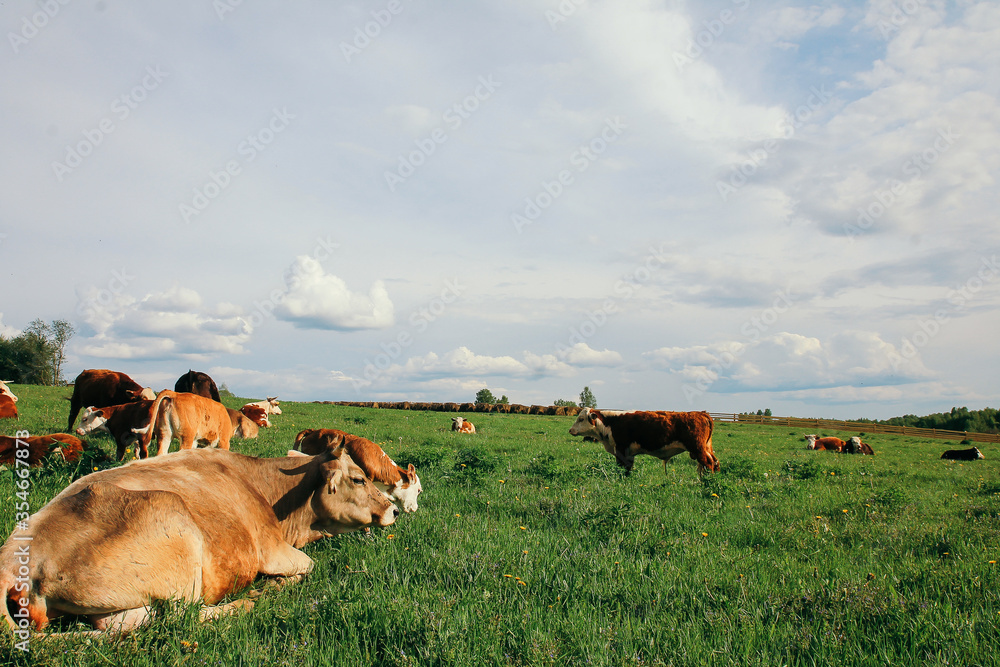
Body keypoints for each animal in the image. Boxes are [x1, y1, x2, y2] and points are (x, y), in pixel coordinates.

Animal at [0, 445, 398, 635]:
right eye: (360, 479)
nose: (393, 509)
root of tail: (14, 559)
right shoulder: (272, 550)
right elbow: (308, 567)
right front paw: (274, 585)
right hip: (177, 532)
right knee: (183, 617)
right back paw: (250, 600)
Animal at [568, 408, 720, 476]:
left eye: (581, 419)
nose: (571, 430)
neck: (611, 422)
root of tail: (701, 413)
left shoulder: (622, 450)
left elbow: (624, 467)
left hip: (698, 449)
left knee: (708, 463)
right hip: (706, 448)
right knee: (715, 462)